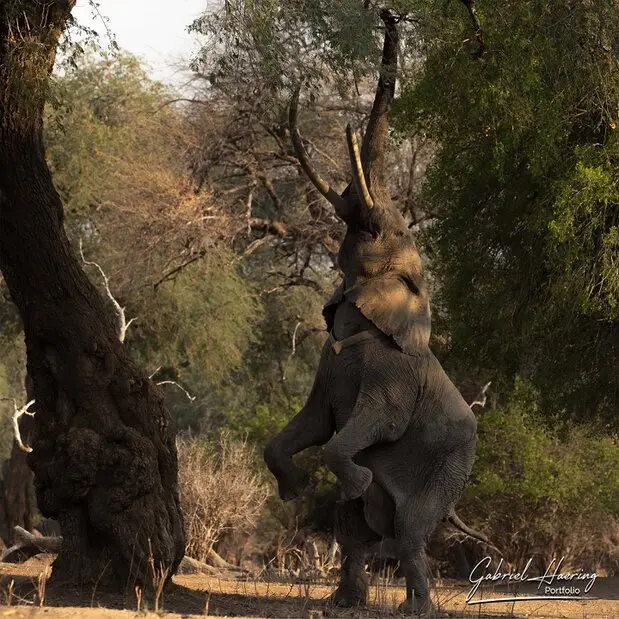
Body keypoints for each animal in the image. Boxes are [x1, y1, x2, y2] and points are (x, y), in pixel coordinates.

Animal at [264, 9, 492, 619]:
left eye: (387, 230)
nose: (389, 15)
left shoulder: (392, 376)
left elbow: (363, 429)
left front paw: (357, 474)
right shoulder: (326, 365)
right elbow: (311, 423)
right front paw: (296, 489)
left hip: (449, 467)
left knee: (410, 530)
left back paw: (417, 607)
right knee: (355, 531)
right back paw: (345, 601)